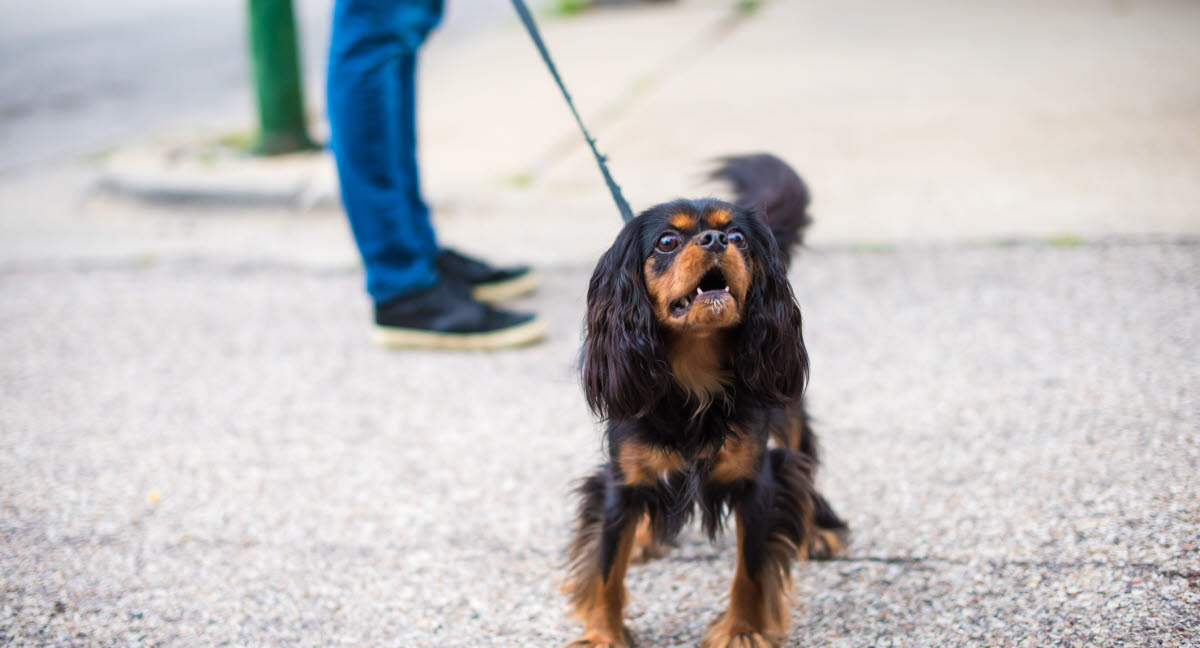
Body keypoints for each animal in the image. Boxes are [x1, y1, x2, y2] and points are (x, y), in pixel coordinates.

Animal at [559, 154, 844, 643]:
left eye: (738, 237)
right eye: (667, 241)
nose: (715, 239)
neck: (693, 371)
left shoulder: (756, 480)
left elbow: (751, 568)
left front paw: (741, 632)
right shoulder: (620, 482)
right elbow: (606, 568)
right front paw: (603, 636)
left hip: (785, 409)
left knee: (801, 457)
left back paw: (817, 529)